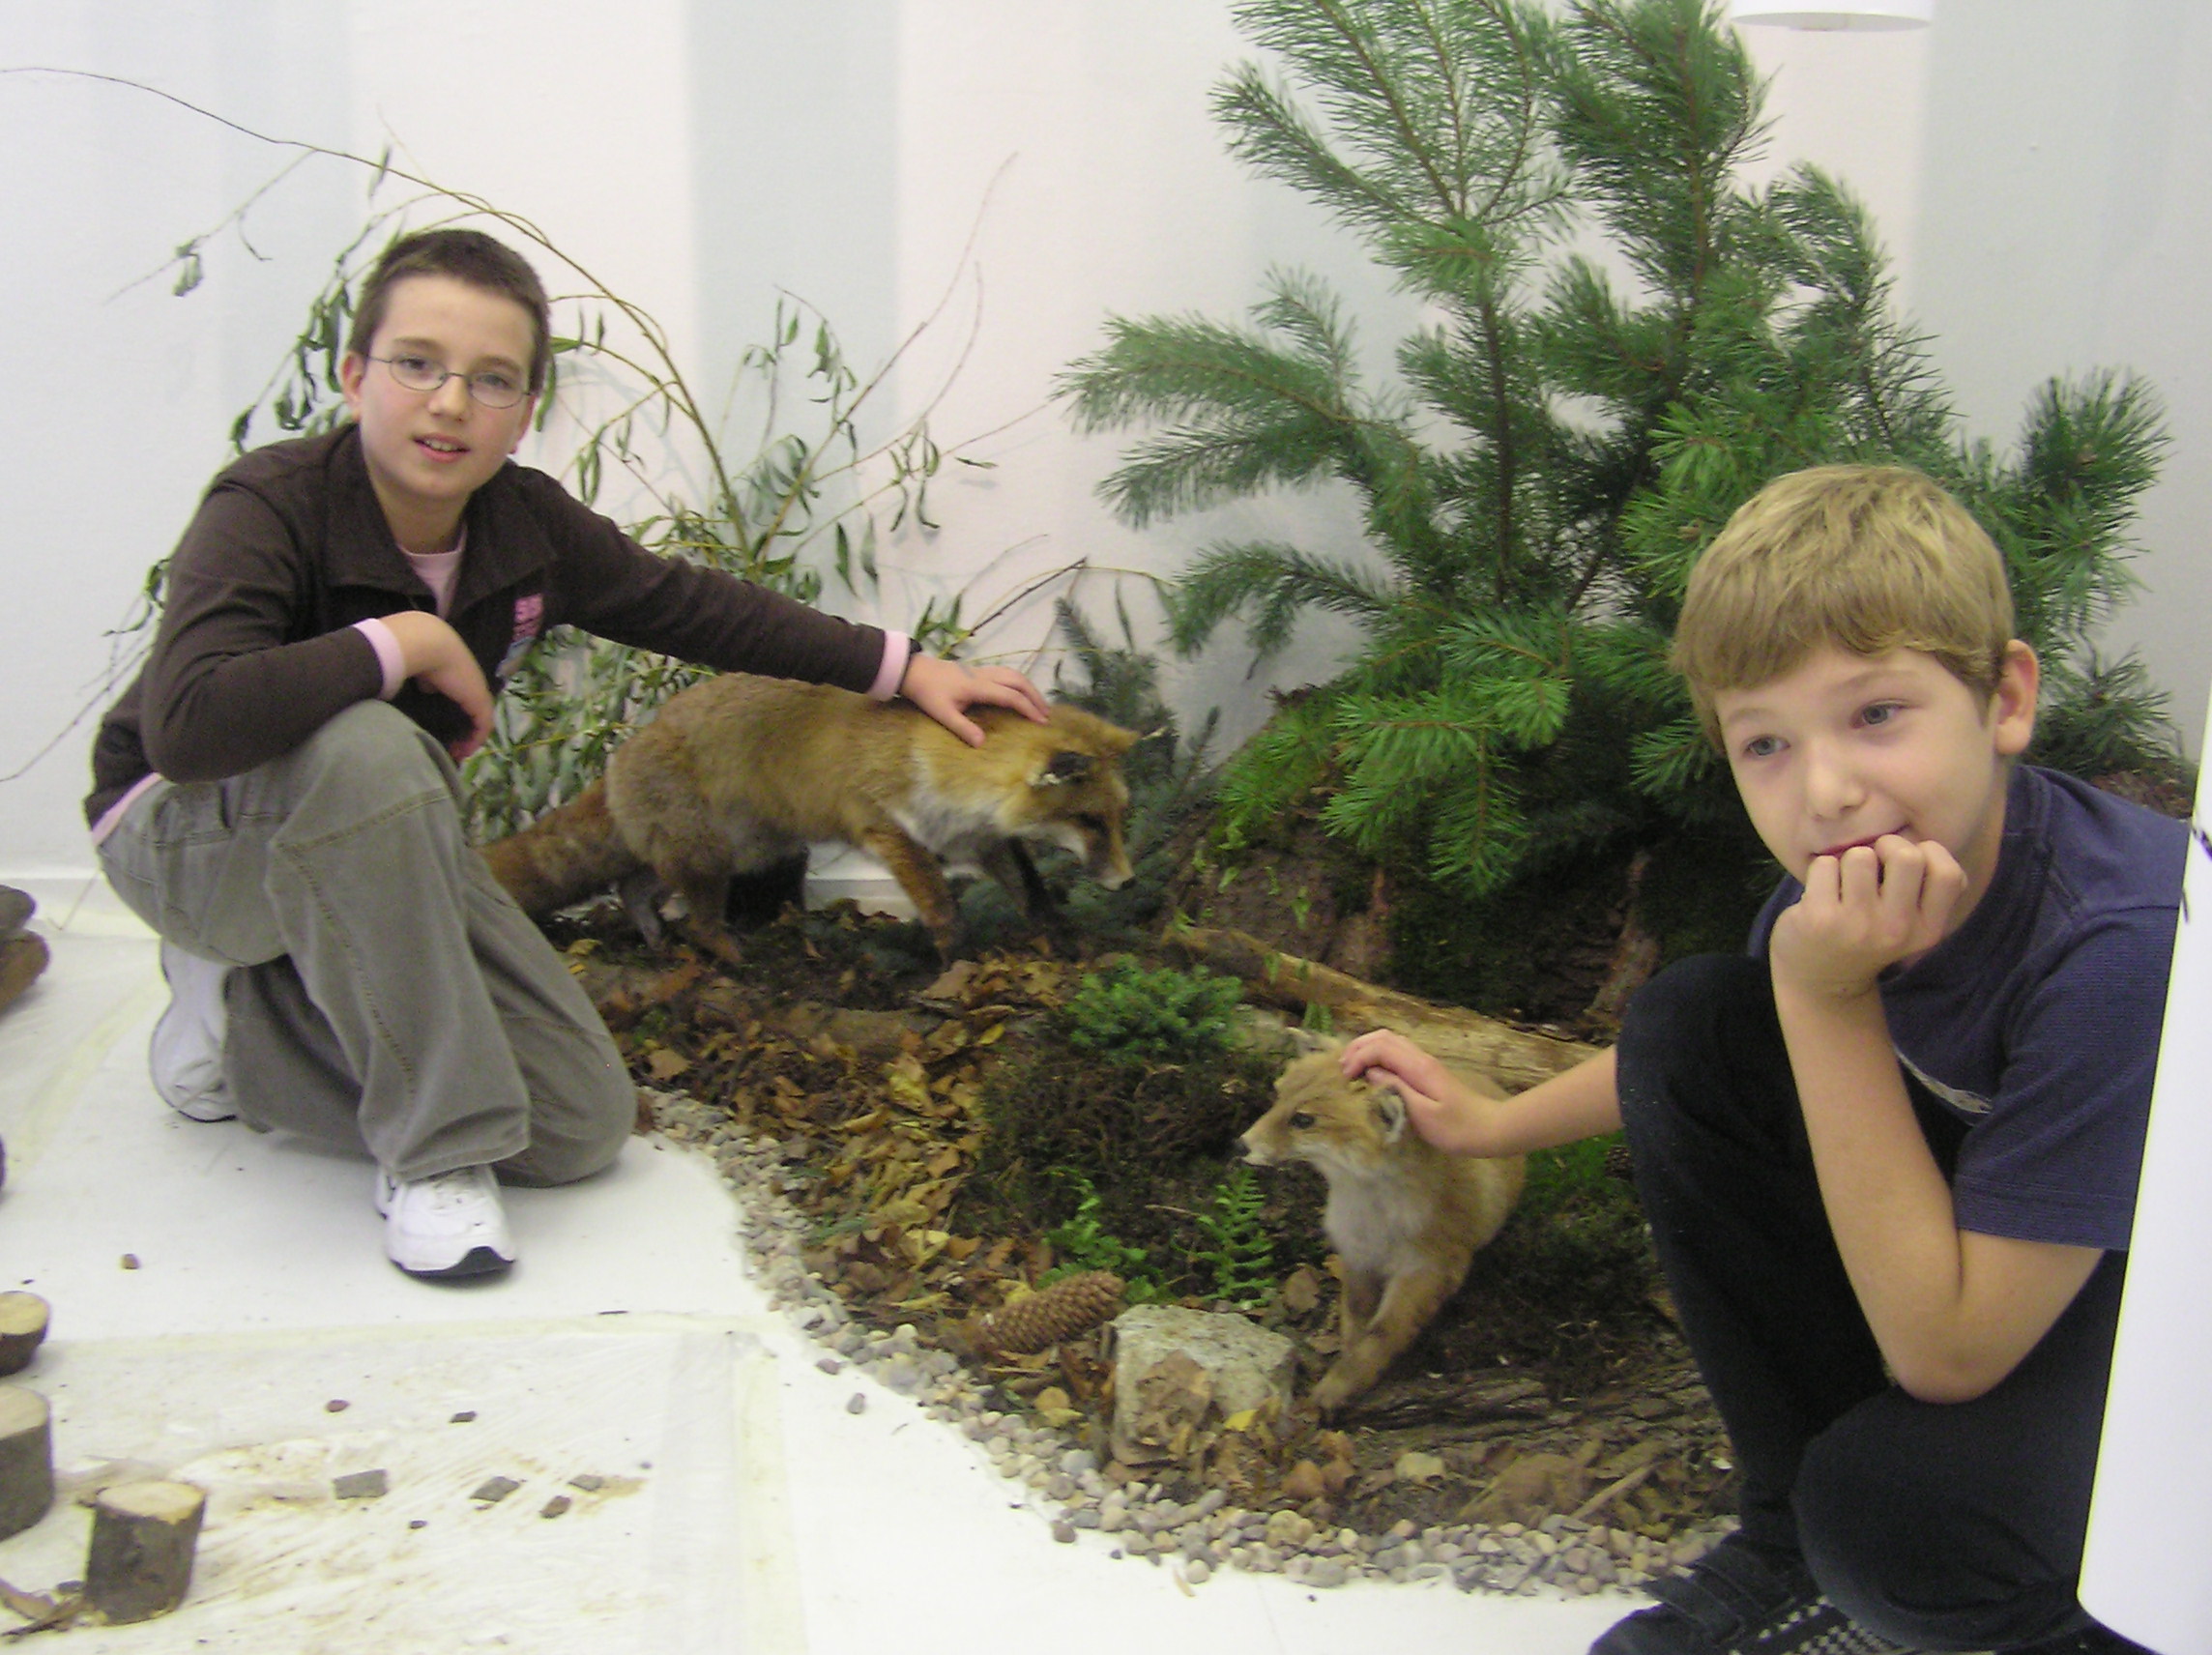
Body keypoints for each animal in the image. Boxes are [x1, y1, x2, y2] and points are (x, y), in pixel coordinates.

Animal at [480, 672, 1139, 959]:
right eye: (1090, 821)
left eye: (1118, 818)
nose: (1129, 882)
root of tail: (618, 757)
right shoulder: (888, 829)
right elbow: (942, 909)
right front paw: (957, 964)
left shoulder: (976, 838)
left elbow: (1031, 892)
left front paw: (1058, 937)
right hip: (711, 861)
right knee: (696, 922)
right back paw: (737, 961)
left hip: (728, 853)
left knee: (632, 887)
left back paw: (655, 939)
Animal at [1242, 1045, 1526, 1415]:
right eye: (1278, 1097)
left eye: (1303, 1120)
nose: (1241, 1144)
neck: (1374, 1222)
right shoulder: (1357, 1257)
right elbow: (1355, 1321)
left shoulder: (1427, 1271)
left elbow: (1379, 1337)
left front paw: (1337, 1387)